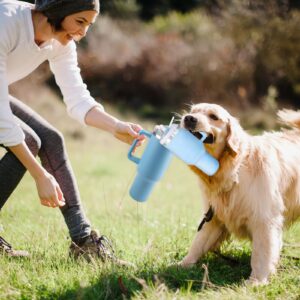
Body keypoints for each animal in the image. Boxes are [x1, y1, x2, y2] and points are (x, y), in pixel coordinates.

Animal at [178, 104, 300, 284]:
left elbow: (261, 253)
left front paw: (257, 280)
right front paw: (182, 265)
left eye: (214, 116)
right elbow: (198, 242)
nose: (188, 118)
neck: (234, 169)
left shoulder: (264, 218)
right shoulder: (213, 216)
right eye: (193, 111)